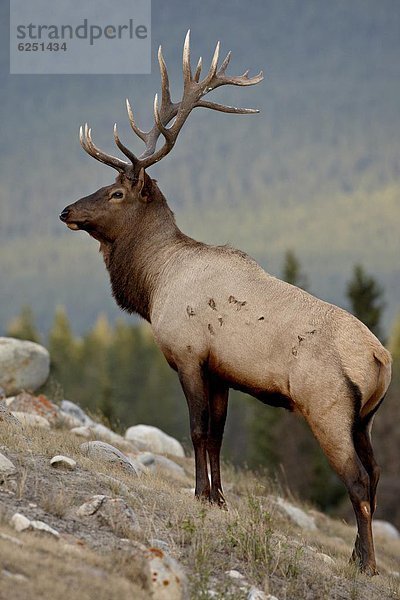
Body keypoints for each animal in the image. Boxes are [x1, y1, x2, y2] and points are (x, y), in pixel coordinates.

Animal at [60, 30, 390, 576]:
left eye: (115, 193)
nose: (66, 210)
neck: (153, 285)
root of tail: (381, 359)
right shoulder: (222, 371)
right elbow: (216, 434)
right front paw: (218, 499)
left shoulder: (189, 354)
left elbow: (196, 431)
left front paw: (199, 495)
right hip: (365, 418)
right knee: (378, 474)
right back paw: (358, 555)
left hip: (326, 407)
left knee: (358, 479)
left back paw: (362, 563)